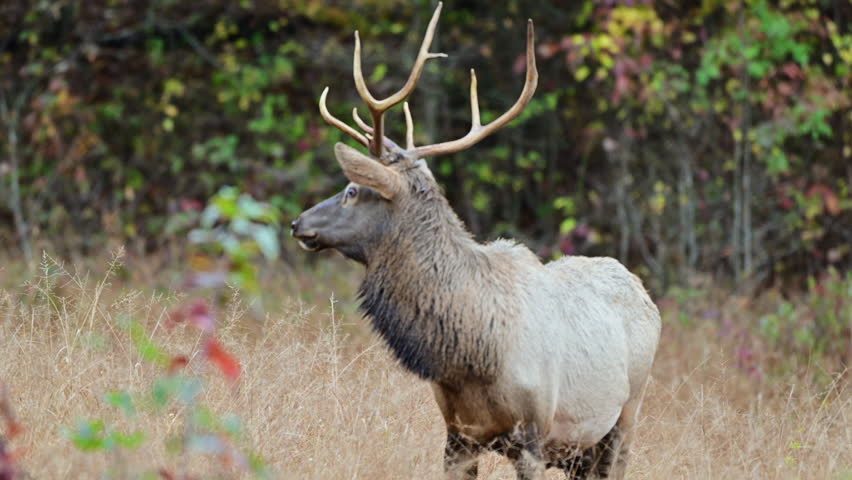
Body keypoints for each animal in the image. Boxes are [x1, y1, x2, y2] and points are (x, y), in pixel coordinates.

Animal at [290, 4, 661, 479]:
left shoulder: (534, 435)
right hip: (581, 451)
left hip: (627, 413)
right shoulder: (457, 434)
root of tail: (641, 288)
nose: (298, 222)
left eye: (352, 190)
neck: (471, 356)